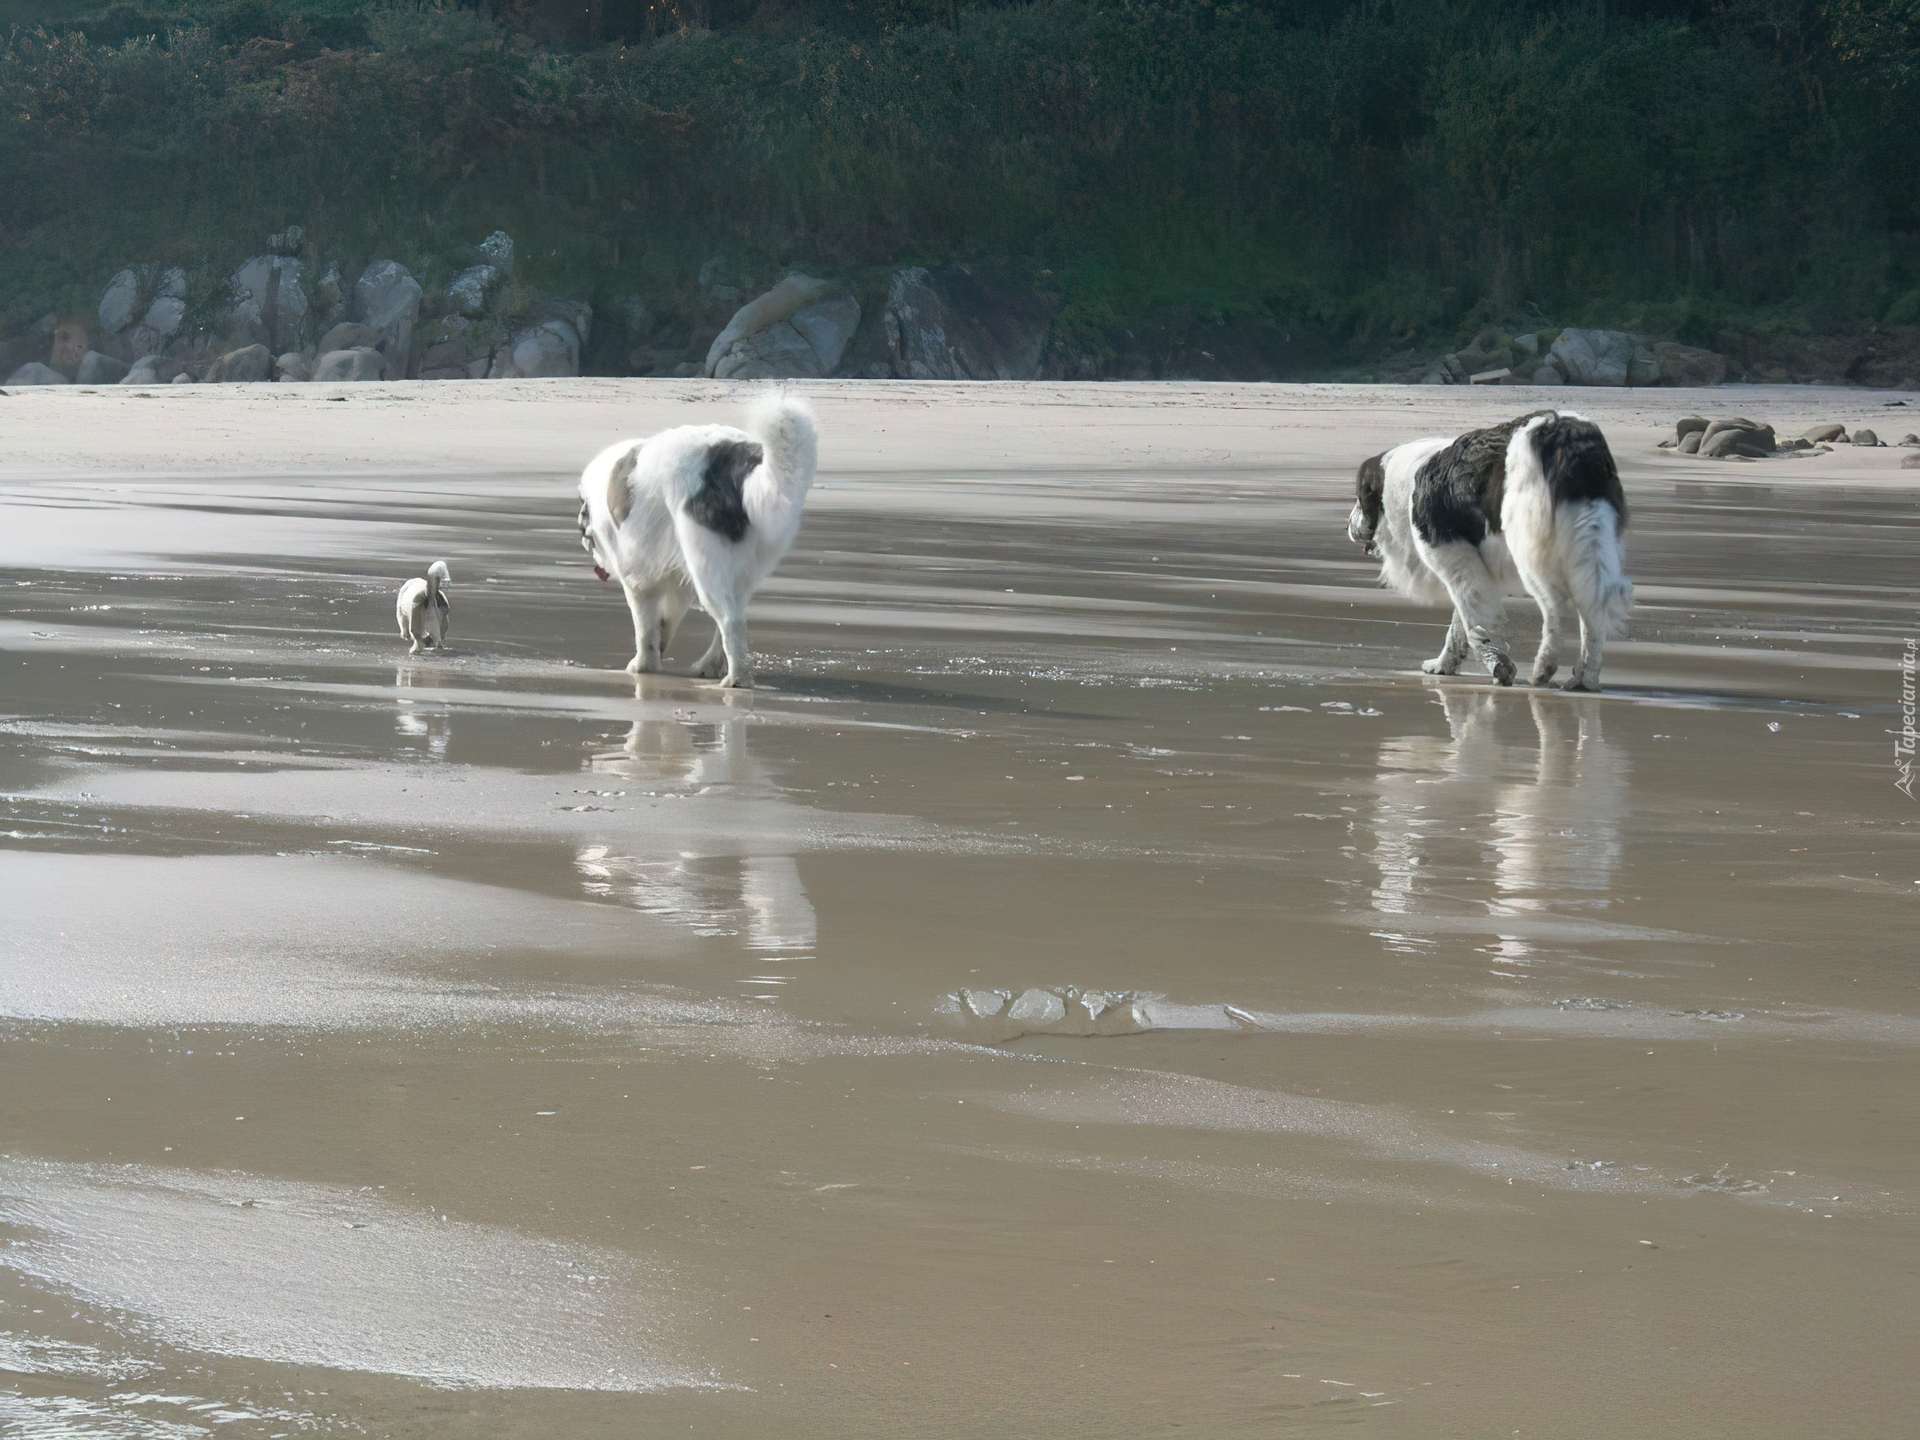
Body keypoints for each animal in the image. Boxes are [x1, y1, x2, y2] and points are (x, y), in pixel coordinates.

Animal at [568, 391, 810, 691]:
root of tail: (740, 460)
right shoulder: (676, 581)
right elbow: (666, 620)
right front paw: (661, 645)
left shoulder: (638, 579)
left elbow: (644, 628)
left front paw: (643, 665)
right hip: (744, 566)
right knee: (733, 617)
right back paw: (710, 667)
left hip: (707, 565)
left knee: (731, 621)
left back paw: (736, 678)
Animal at [1351, 410, 1635, 695]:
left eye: (1360, 495)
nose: (1348, 525)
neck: (1403, 484)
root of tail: (1561, 431)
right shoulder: (1469, 565)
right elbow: (1461, 624)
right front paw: (1445, 664)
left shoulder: (1452, 558)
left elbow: (1471, 621)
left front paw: (1498, 666)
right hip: (1589, 539)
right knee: (1592, 608)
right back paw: (1585, 677)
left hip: (1530, 549)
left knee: (1554, 604)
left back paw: (1544, 667)